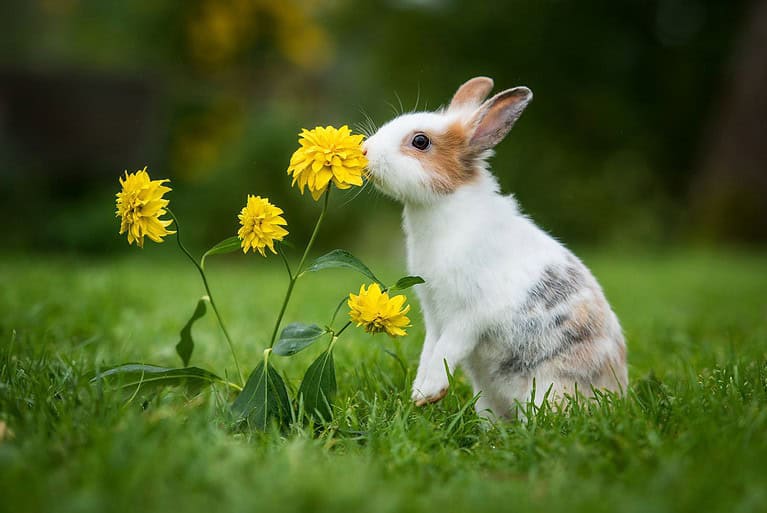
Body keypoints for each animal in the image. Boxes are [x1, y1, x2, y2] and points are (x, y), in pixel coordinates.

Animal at [362, 77, 628, 418]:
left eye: (420, 141)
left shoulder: (469, 314)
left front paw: (428, 392)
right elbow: (430, 349)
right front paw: (420, 393)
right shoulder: (434, 314)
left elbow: (447, 348)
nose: (365, 150)